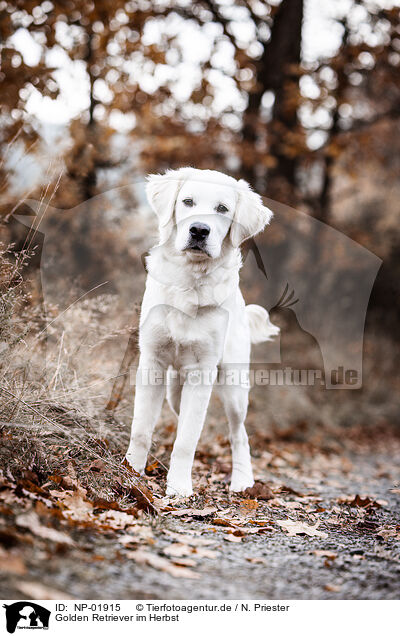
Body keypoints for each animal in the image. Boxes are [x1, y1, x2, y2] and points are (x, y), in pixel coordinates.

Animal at [125, 169, 278, 496]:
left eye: (222, 208)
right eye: (187, 202)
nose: (199, 230)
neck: (190, 281)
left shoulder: (202, 372)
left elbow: (186, 441)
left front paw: (179, 488)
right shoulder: (152, 363)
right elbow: (141, 428)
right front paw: (130, 471)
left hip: (234, 388)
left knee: (239, 434)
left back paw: (243, 481)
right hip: (175, 390)